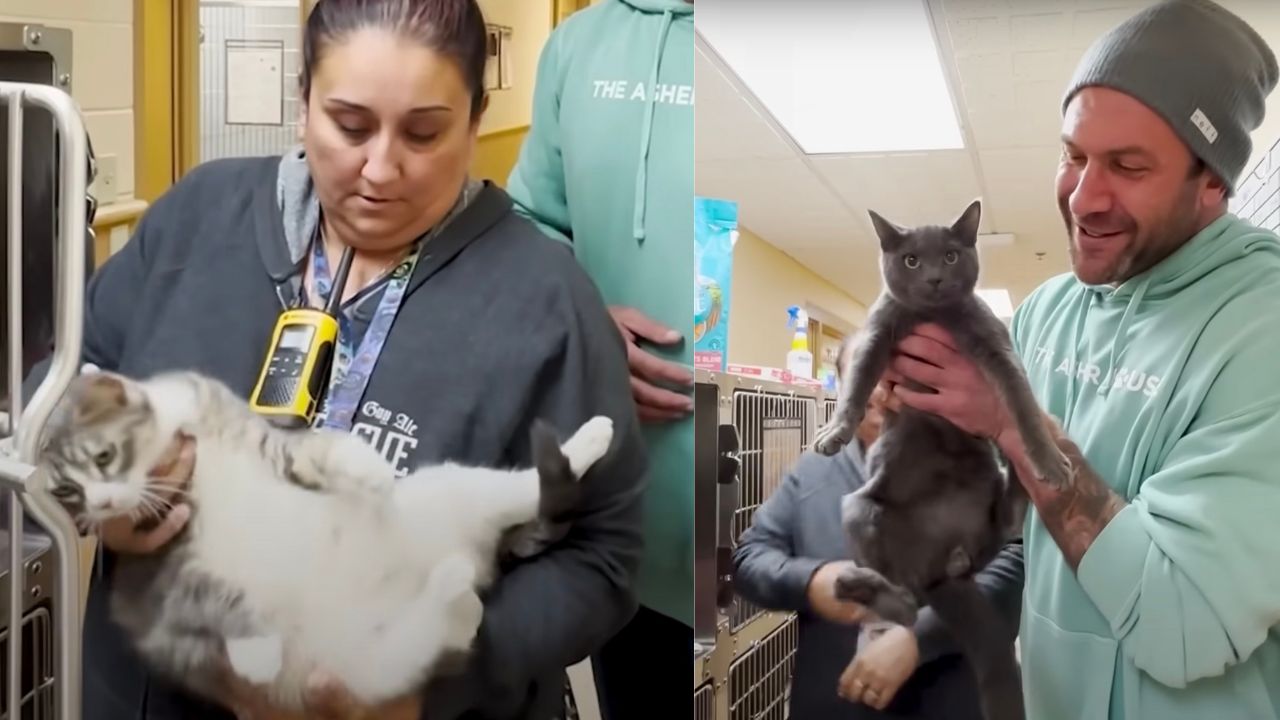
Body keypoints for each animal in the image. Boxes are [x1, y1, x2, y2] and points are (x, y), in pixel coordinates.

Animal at [37, 366, 616, 707]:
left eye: (104, 457)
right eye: (67, 493)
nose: (102, 505)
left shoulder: (272, 443)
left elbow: (326, 449)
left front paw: (371, 472)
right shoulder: (166, 571)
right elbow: (220, 599)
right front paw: (256, 651)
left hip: (457, 490)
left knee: (524, 486)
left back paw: (591, 438)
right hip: (370, 665)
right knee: (434, 629)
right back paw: (452, 590)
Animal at [814, 198, 1064, 717]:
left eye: (950, 255)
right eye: (910, 260)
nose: (933, 277)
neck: (932, 318)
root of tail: (942, 565)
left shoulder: (995, 345)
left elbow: (1022, 405)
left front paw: (1048, 459)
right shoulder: (878, 334)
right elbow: (857, 386)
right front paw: (834, 432)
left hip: (984, 498)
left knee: (997, 531)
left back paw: (1022, 481)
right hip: (858, 510)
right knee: (906, 604)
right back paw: (855, 586)